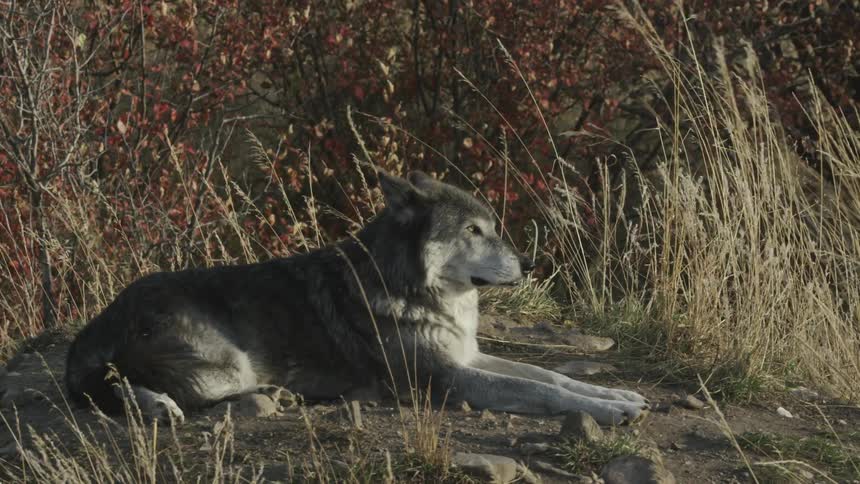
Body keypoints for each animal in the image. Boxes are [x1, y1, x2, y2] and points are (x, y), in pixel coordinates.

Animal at [65, 171, 648, 425]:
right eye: (473, 231)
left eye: (493, 227)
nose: (529, 264)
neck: (415, 289)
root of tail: (96, 323)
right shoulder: (445, 378)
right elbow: (542, 391)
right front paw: (610, 411)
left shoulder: (468, 356)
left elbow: (550, 376)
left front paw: (619, 396)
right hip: (226, 362)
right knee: (129, 388)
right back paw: (160, 406)